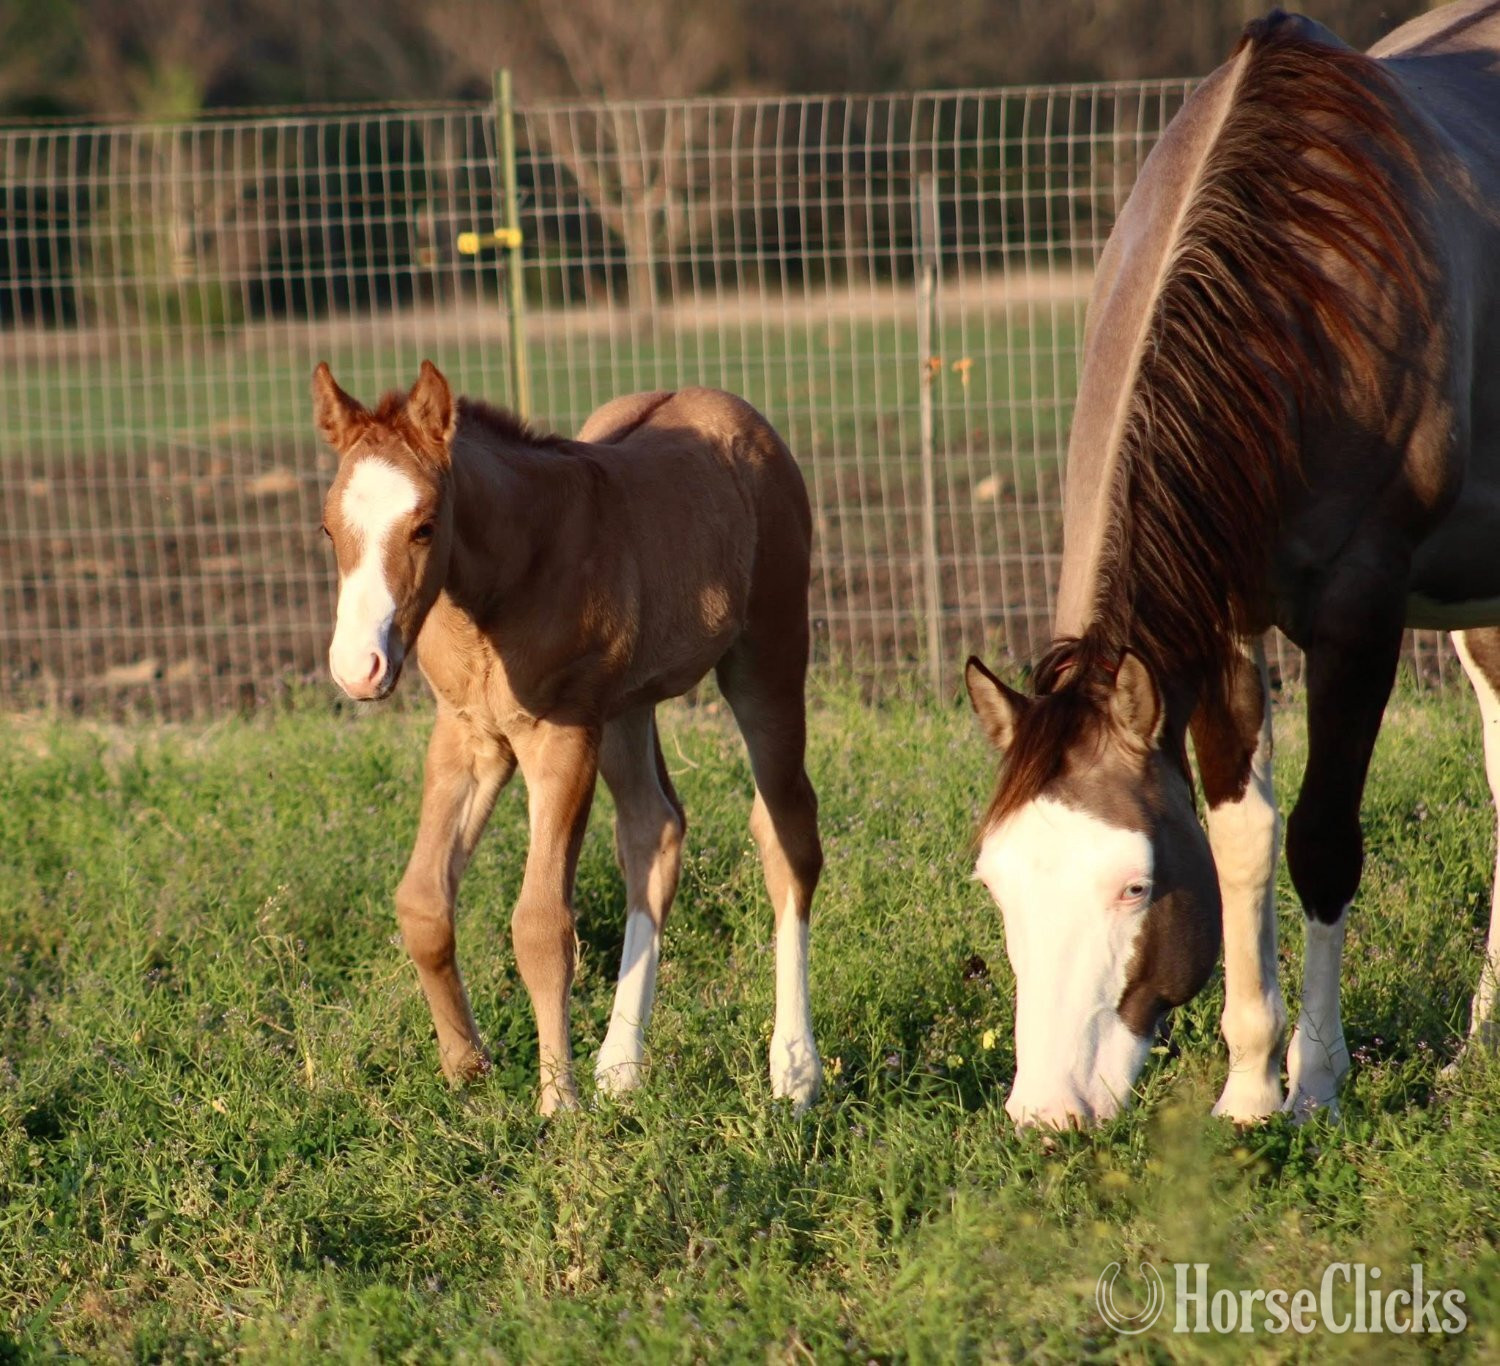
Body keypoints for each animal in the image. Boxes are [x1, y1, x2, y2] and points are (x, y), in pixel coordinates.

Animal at [311, 361, 823, 1115]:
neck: (508, 579)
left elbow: (541, 924)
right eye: (327, 529)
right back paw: (621, 1066)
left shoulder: (563, 735)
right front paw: (468, 1070)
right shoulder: (470, 735)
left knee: (787, 834)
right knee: (653, 831)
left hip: (768, 658)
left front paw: (558, 1104)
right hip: (626, 709)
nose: (358, 669)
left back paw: (794, 1068)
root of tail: (736, 412)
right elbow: (423, 904)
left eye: (425, 527)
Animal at [964, 1, 1500, 1129]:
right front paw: (1252, 1085)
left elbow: (1321, 841)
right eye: (998, 885)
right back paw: (1478, 1049)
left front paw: (1318, 1086)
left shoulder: (1359, 616)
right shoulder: (1221, 621)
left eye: (1133, 885)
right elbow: (1241, 837)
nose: (1044, 1113)